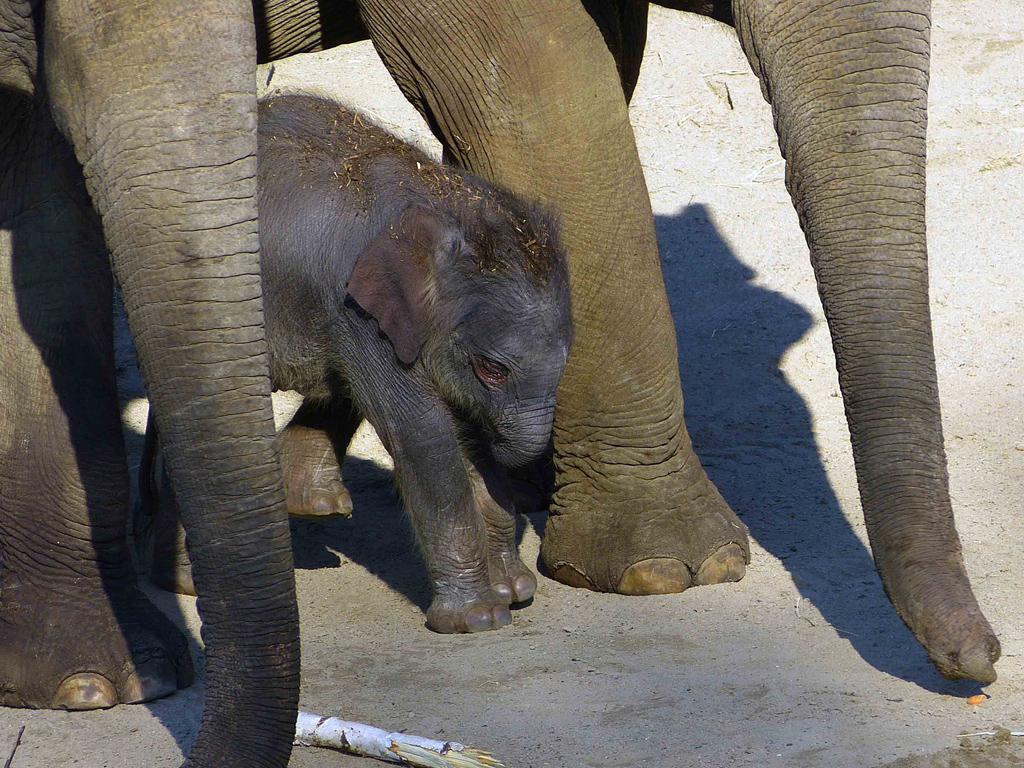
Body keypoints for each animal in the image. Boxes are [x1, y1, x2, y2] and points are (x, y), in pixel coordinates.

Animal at [138, 93, 569, 634]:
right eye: (493, 370)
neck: (444, 201)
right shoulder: (362, 313)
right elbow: (424, 435)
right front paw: (479, 619)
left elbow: (461, 427)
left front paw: (515, 592)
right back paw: (187, 582)